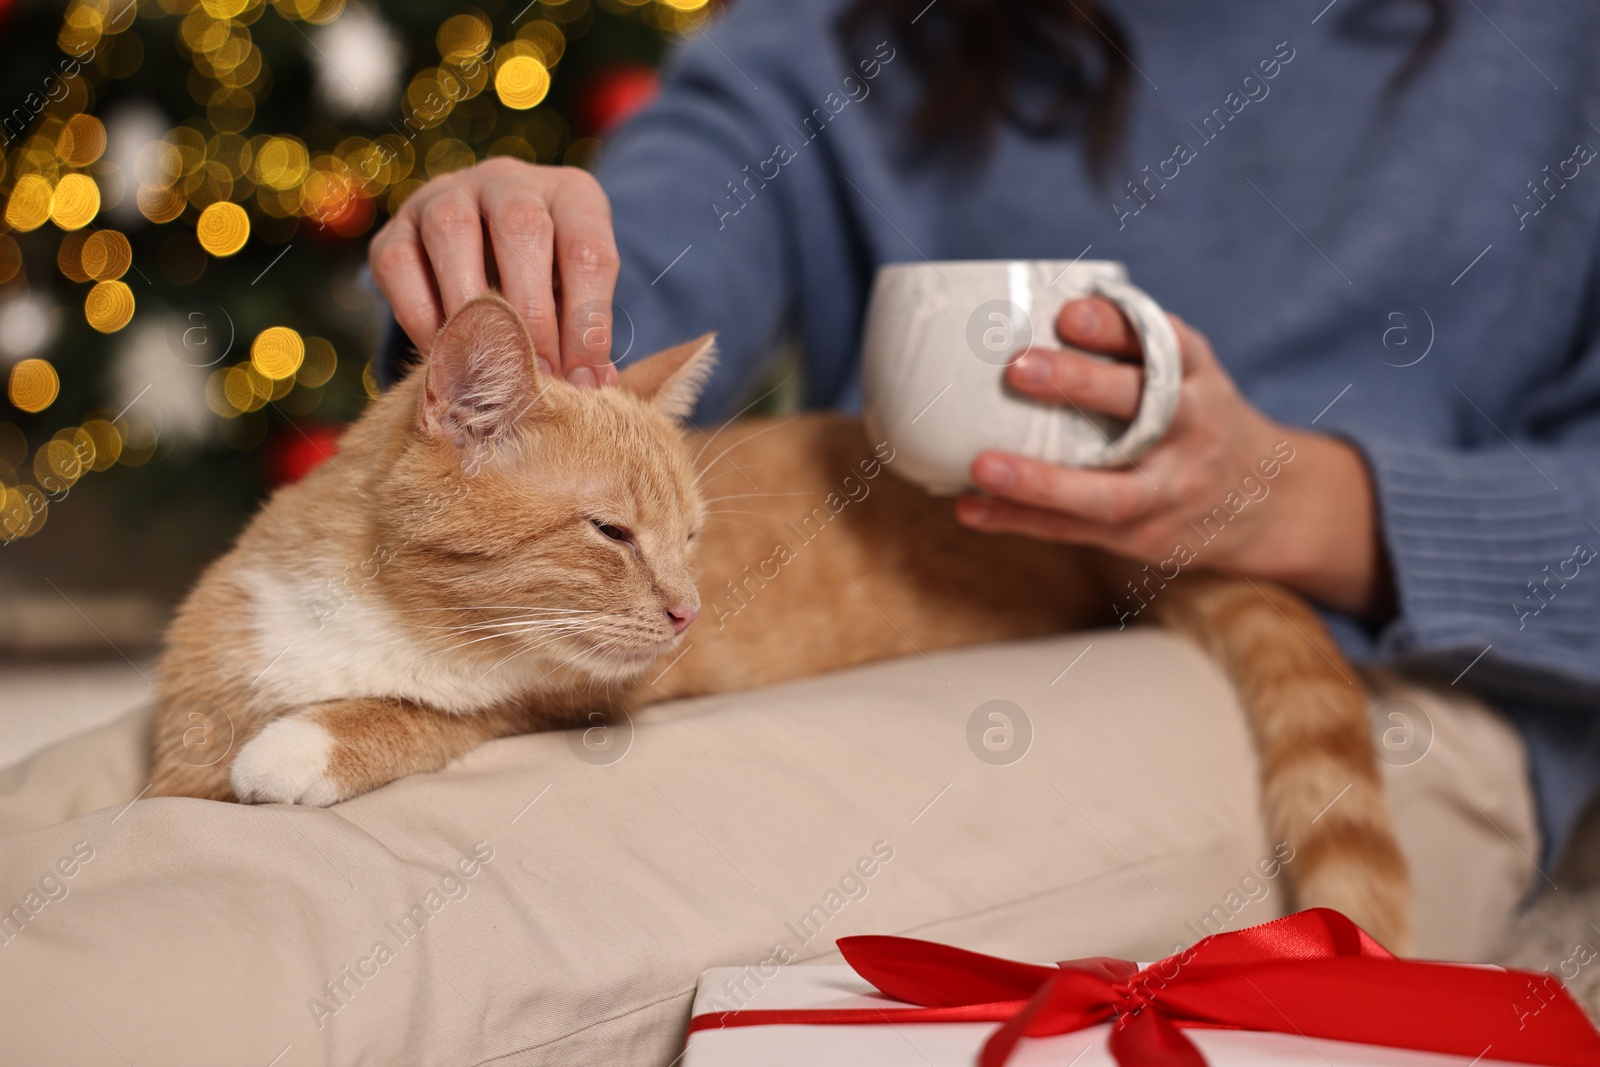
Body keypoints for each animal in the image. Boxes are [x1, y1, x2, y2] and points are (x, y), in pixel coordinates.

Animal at [144, 294, 1408, 953]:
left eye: (692, 537)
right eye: (612, 531)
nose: (688, 610)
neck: (378, 610)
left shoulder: (559, 701)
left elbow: (429, 713)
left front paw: (305, 742)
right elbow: (175, 771)